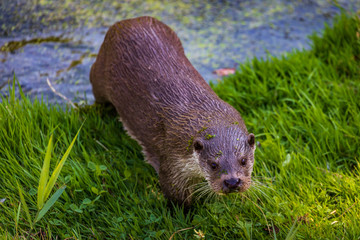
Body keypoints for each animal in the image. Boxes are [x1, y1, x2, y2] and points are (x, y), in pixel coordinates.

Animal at [89, 15, 256, 205]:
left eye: (243, 161)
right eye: (213, 164)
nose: (232, 181)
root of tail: (128, 21)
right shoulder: (172, 163)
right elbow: (176, 196)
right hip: (100, 74)